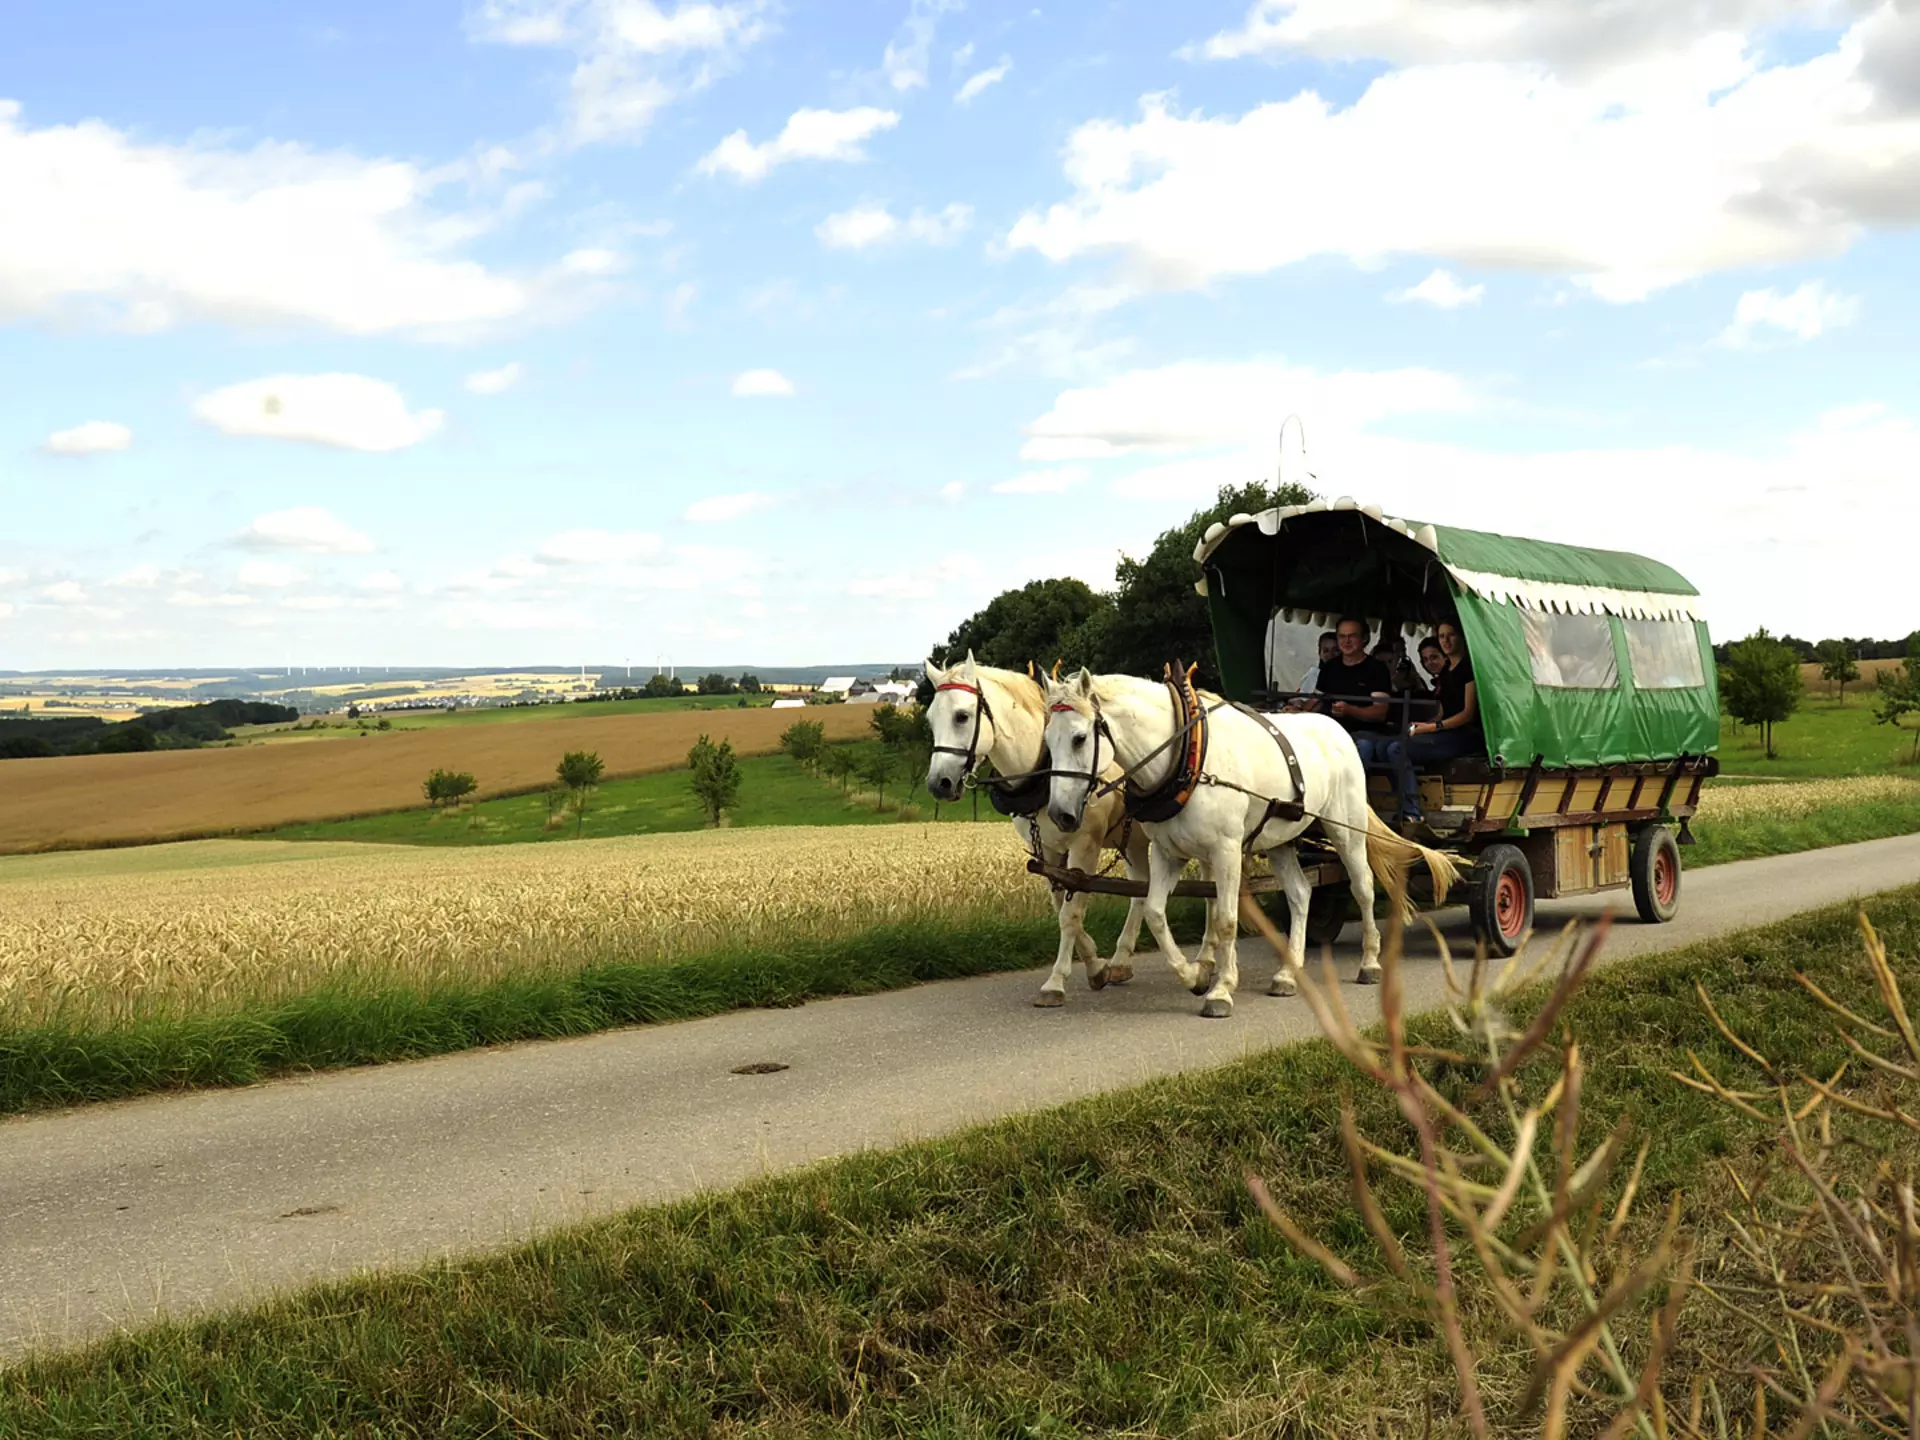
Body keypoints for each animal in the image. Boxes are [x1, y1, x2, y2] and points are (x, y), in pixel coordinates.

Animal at [921, 656, 1144, 1006]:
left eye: (962, 716)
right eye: (930, 720)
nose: (938, 784)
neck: (1045, 771)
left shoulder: (1085, 845)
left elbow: (1070, 913)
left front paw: (1056, 982)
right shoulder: (1050, 851)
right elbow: (1061, 907)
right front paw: (1096, 967)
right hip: (1136, 840)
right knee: (1144, 892)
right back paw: (1121, 963)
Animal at [1044, 672, 1459, 1021]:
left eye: (1080, 738)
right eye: (1047, 741)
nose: (1060, 814)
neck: (1187, 759)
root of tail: (1337, 728)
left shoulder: (1226, 851)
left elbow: (1226, 919)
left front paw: (1221, 990)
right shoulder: (1167, 853)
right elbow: (1156, 913)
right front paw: (1194, 976)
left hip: (1347, 830)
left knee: (1363, 888)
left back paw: (1370, 963)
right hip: (1281, 842)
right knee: (1301, 893)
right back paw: (1287, 973)